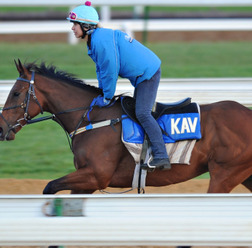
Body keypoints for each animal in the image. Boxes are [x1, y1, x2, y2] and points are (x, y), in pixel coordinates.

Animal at [0, 59, 252, 195]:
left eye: (16, 93)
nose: (2, 129)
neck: (91, 118)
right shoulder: (86, 181)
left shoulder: (96, 175)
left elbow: (49, 187)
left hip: (225, 173)